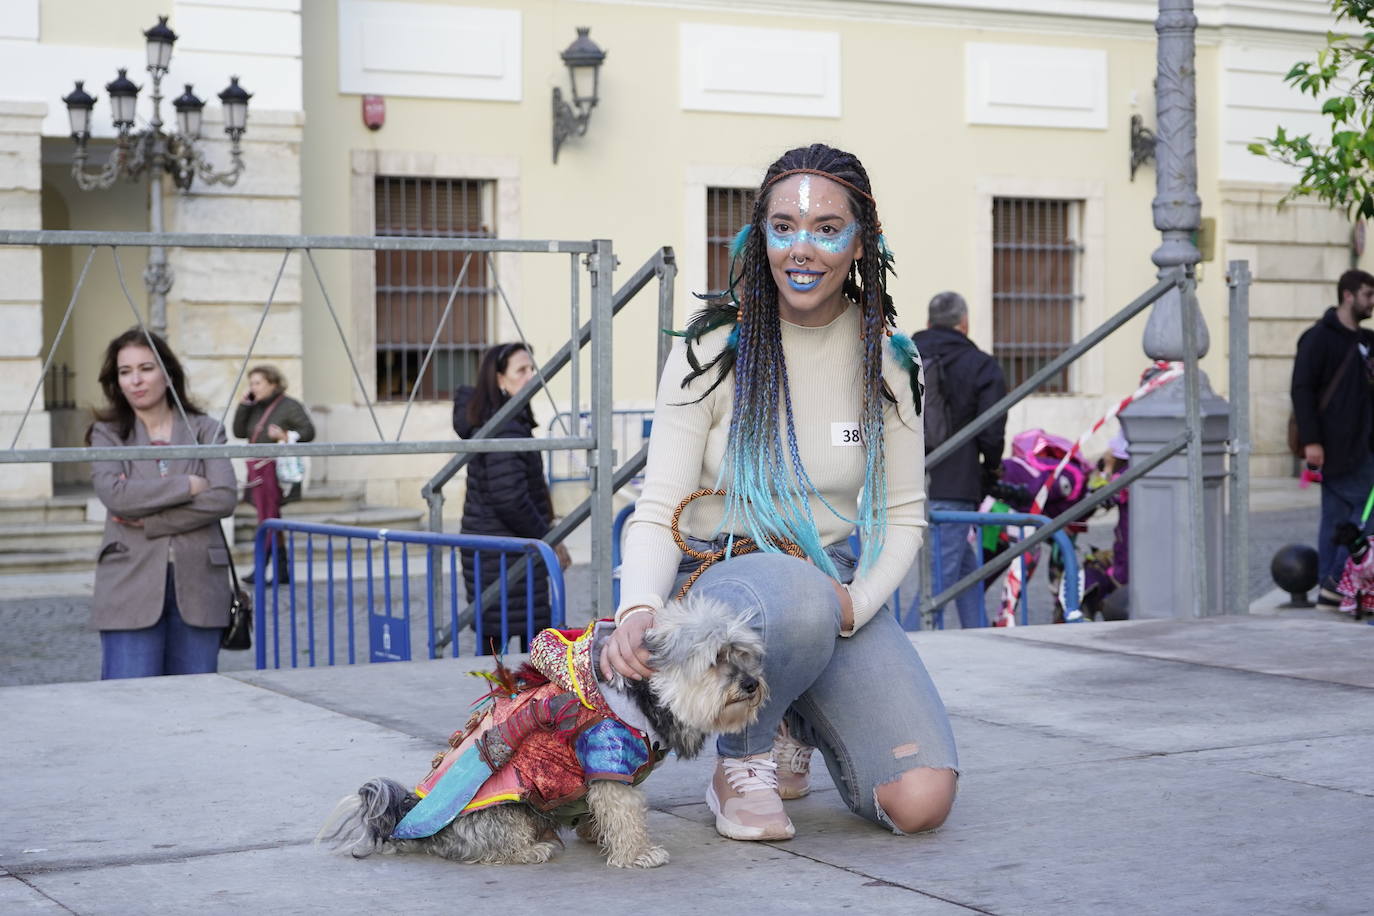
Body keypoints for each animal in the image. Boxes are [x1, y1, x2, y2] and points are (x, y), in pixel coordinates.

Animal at [318, 598, 763, 873]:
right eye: (715, 659)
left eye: (743, 653)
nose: (751, 684)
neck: (643, 696)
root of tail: (408, 812)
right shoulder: (607, 758)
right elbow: (624, 811)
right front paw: (636, 853)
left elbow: (603, 810)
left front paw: (596, 834)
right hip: (509, 811)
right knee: (496, 847)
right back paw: (533, 848)